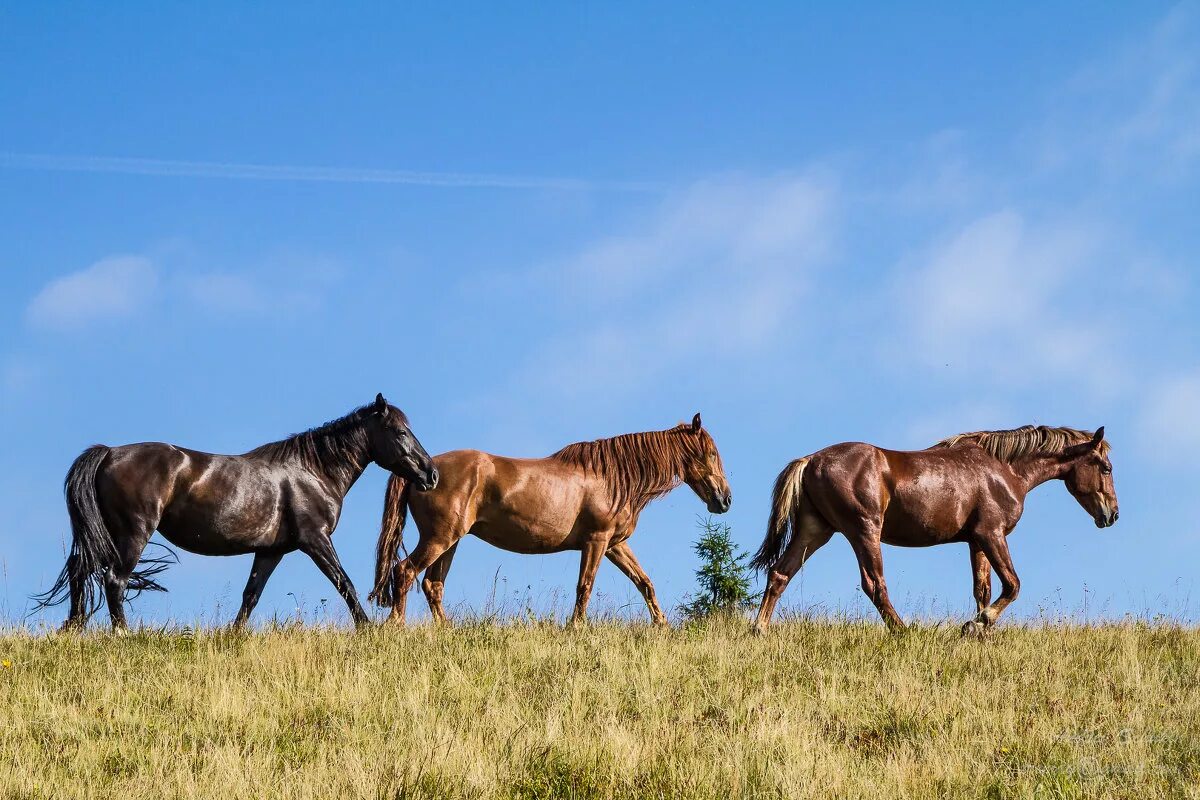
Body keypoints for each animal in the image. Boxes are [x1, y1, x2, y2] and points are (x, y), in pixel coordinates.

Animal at [34, 393, 441, 633]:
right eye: (400, 432)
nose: (431, 474)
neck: (312, 471)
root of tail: (109, 453)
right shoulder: (315, 540)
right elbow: (344, 583)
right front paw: (367, 628)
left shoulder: (271, 550)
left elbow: (251, 594)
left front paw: (233, 636)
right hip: (133, 533)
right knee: (114, 580)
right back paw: (122, 634)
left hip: (106, 535)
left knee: (80, 572)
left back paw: (72, 629)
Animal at [367, 417, 729, 628]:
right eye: (711, 454)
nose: (725, 499)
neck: (611, 477)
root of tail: (423, 471)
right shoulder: (596, 541)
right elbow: (585, 586)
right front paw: (576, 628)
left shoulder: (615, 545)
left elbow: (644, 582)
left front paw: (661, 625)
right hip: (439, 538)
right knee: (405, 572)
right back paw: (397, 627)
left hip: (449, 541)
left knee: (432, 585)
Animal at [748, 424, 1113, 638]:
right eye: (1106, 468)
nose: (1112, 514)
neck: (1003, 469)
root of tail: (810, 460)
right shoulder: (992, 534)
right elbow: (1012, 585)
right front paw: (976, 624)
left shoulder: (976, 541)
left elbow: (982, 590)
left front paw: (980, 631)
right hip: (863, 531)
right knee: (874, 584)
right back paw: (903, 632)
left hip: (815, 531)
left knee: (780, 573)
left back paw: (760, 629)